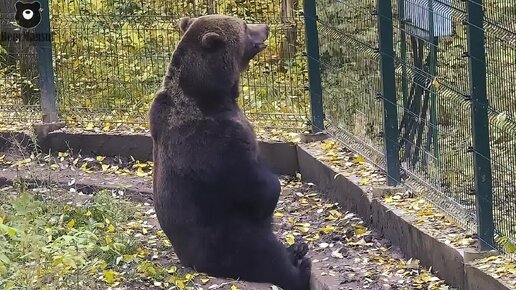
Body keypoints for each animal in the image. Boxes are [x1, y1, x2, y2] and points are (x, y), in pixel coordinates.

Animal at [147, 15, 312, 290]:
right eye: (244, 26)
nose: (265, 27)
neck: (213, 94)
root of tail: (191, 262)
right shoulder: (215, 138)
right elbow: (253, 184)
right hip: (228, 237)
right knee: (266, 257)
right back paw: (301, 265)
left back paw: (297, 248)